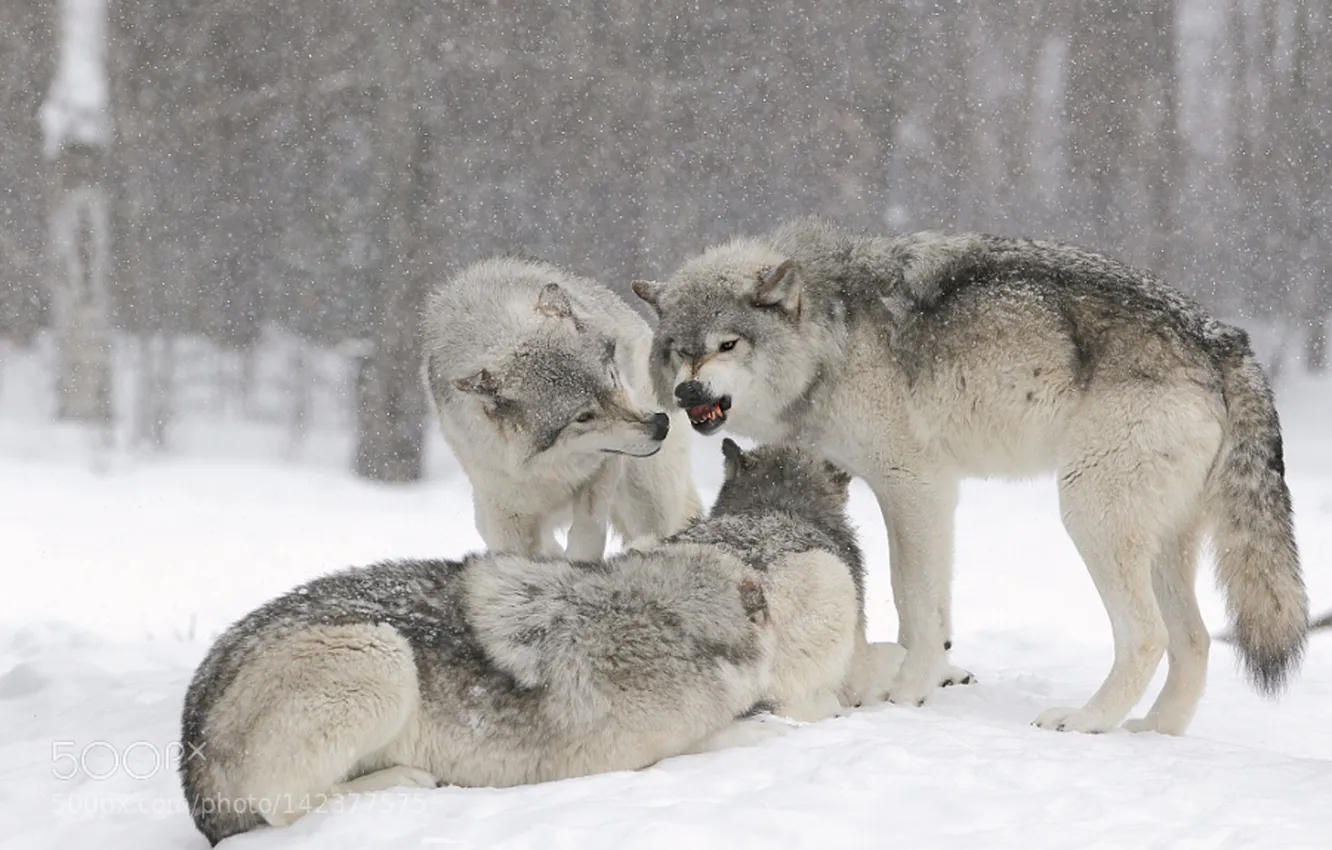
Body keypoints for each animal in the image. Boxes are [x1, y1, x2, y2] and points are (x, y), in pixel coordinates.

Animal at [179, 547, 774, 845]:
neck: (664, 616)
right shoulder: (621, 755)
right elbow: (720, 737)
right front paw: (767, 729)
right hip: (379, 656)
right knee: (283, 808)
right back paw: (408, 780)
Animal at [422, 256, 700, 561]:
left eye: (612, 379)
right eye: (583, 416)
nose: (660, 425)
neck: (546, 469)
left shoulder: (603, 466)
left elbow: (588, 531)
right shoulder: (503, 513)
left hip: (647, 497)